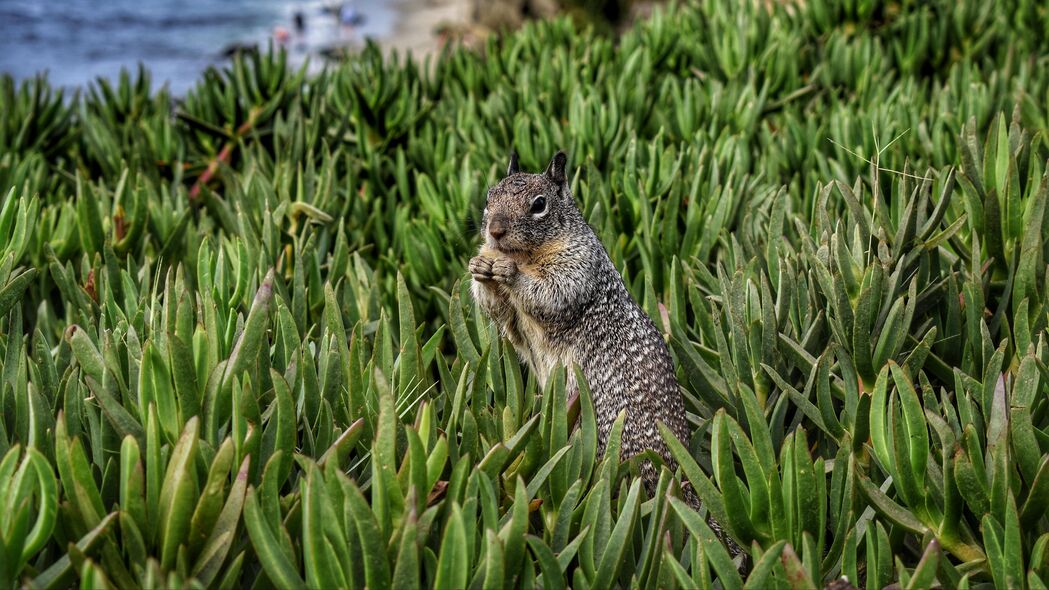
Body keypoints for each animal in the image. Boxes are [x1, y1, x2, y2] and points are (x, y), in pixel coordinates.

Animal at [472, 149, 742, 554]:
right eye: (489, 197)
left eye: (539, 205)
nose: (496, 230)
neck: (524, 254)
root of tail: (678, 480)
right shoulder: (514, 320)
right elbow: (502, 315)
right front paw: (480, 266)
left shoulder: (578, 266)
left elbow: (552, 292)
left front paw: (510, 274)